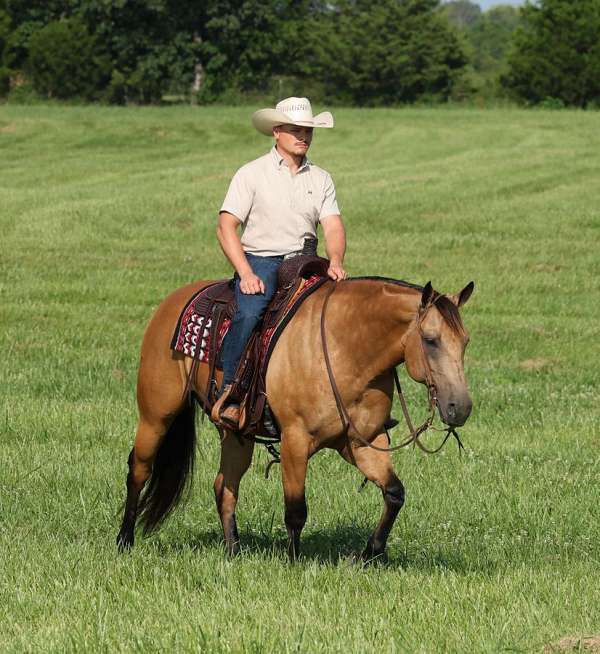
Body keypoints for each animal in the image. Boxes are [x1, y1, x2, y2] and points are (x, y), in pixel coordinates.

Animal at [116, 277, 474, 561]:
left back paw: (233, 551)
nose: (461, 407)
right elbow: (296, 510)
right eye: (430, 340)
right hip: (156, 415)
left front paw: (369, 554)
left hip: (235, 435)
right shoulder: (295, 441)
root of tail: (174, 301)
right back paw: (124, 540)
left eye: (465, 341)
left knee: (224, 486)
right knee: (139, 470)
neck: (345, 349)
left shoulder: (363, 442)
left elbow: (395, 493)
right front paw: (293, 561)